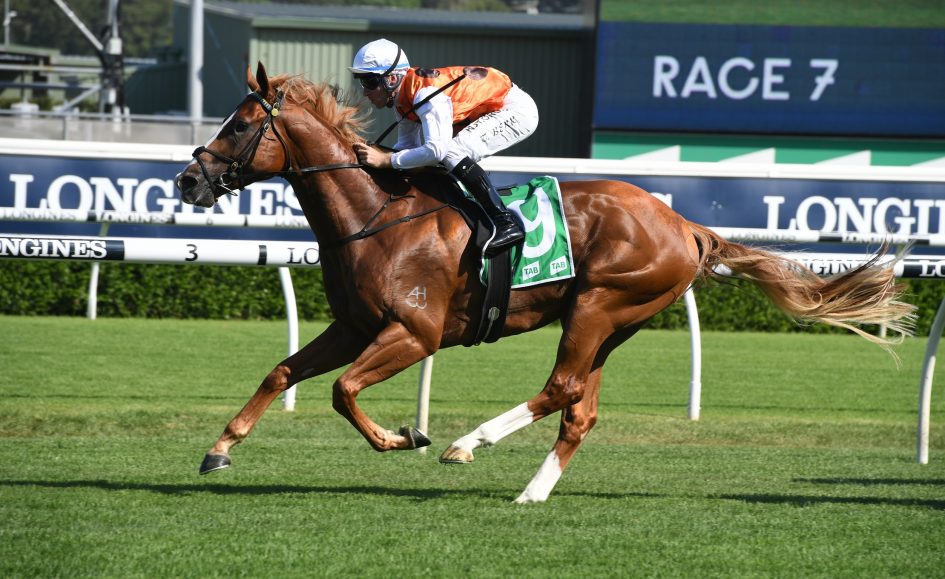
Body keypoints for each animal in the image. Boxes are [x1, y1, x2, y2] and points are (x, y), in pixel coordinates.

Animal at [176, 63, 916, 503]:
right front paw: (218, 450)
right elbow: (282, 370)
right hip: (609, 323)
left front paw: (403, 437)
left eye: (241, 125)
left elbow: (342, 389)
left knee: (559, 388)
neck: (376, 217)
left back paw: (465, 443)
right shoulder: (355, 325)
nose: (186, 180)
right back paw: (532, 490)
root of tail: (683, 224)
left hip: (599, 304)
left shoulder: (413, 333)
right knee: (579, 409)